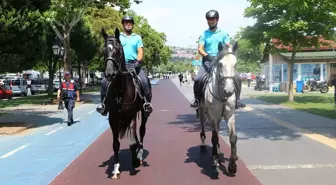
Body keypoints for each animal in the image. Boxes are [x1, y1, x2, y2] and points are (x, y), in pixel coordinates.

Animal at [100, 28, 152, 180]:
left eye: (118, 48)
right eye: (104, 49)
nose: (109, 73)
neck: (120, 88)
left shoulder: (132, 115)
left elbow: (133, 142)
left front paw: (135, 161)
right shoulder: (113, 118)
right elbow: (115, 144)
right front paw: (116, 169)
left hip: (144, 113)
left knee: (142, 131)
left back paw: (140, 154)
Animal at [200, 42, 239, 175]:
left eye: (235, 64)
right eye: (220, 64)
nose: (229, 91)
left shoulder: (230, 115)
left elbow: (233, 138)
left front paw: (232, 165)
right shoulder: (213, 116)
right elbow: (214, 137)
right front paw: (214, 162)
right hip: (202, 110)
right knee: (203, 126)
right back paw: (204, 145)